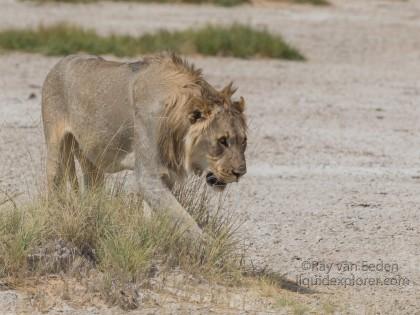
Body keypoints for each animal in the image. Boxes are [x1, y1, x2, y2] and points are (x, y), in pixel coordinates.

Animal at [41, 53, 248, 238]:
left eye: (244, 141)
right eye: (222, 140)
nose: (240, 173)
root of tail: (60, 62)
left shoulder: (164, 176)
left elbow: (157, 215)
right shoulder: (148, 177)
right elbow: (184, 219)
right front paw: (208, 248)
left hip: (91, 159)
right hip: (56, 148)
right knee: (54, 185)